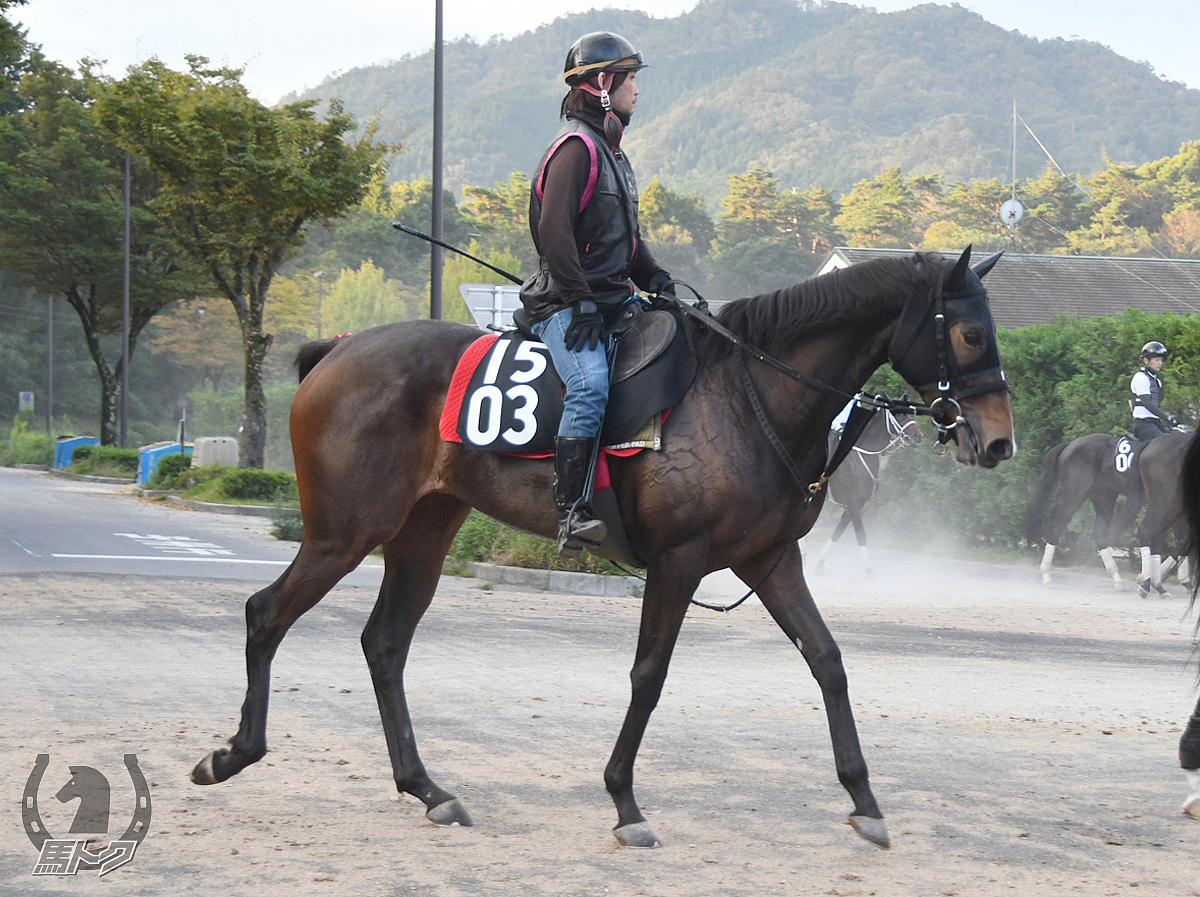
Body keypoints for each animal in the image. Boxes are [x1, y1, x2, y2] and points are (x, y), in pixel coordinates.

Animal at [811, 400, 921, 575]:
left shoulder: (853, 508)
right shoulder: (854, 505)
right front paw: (868, 570)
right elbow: (861, 534)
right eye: (898, 413)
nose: (918, 435)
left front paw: (820, 564)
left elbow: (837, 533)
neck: (860, 458)